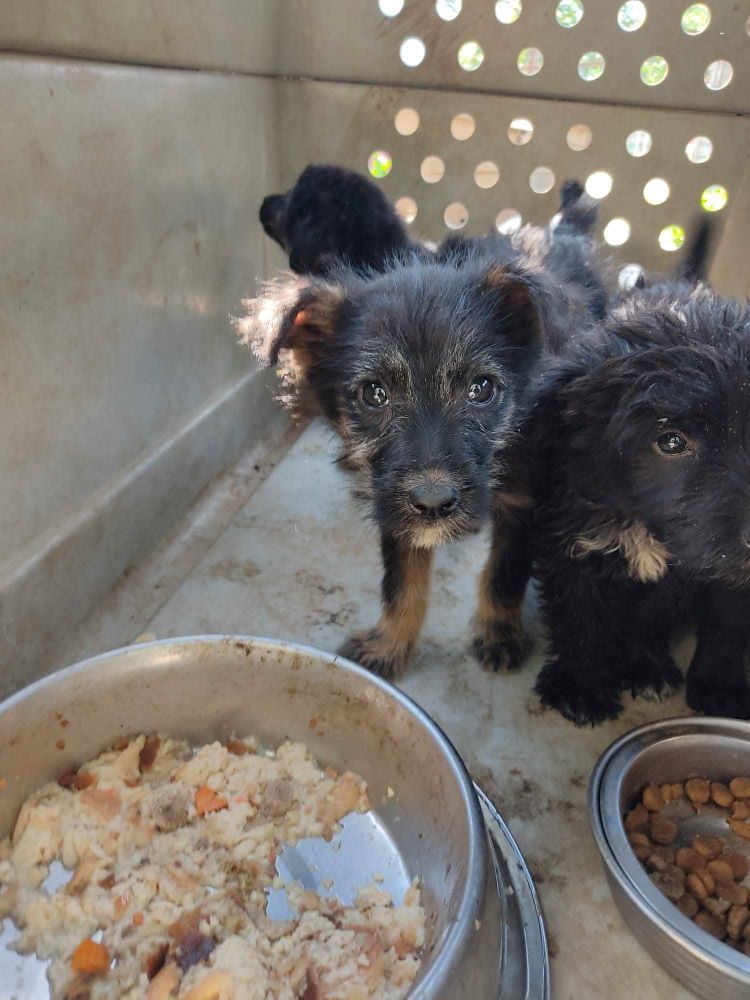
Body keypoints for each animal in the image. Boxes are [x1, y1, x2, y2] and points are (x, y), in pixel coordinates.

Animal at [244, 184, 608, 676]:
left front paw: (498, 631)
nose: (434, 505)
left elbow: (505, 571)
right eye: (373, 393)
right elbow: (401, 581)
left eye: (481, 389)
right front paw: (390, 643)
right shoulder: (392, 500)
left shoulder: (525, 498)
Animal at [532, 250, 750, 724]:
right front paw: (581, 683)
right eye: (671, 441)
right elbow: (580, 611)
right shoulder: (572, 535)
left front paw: (711, 684)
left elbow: (716, 618)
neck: (649, 524)